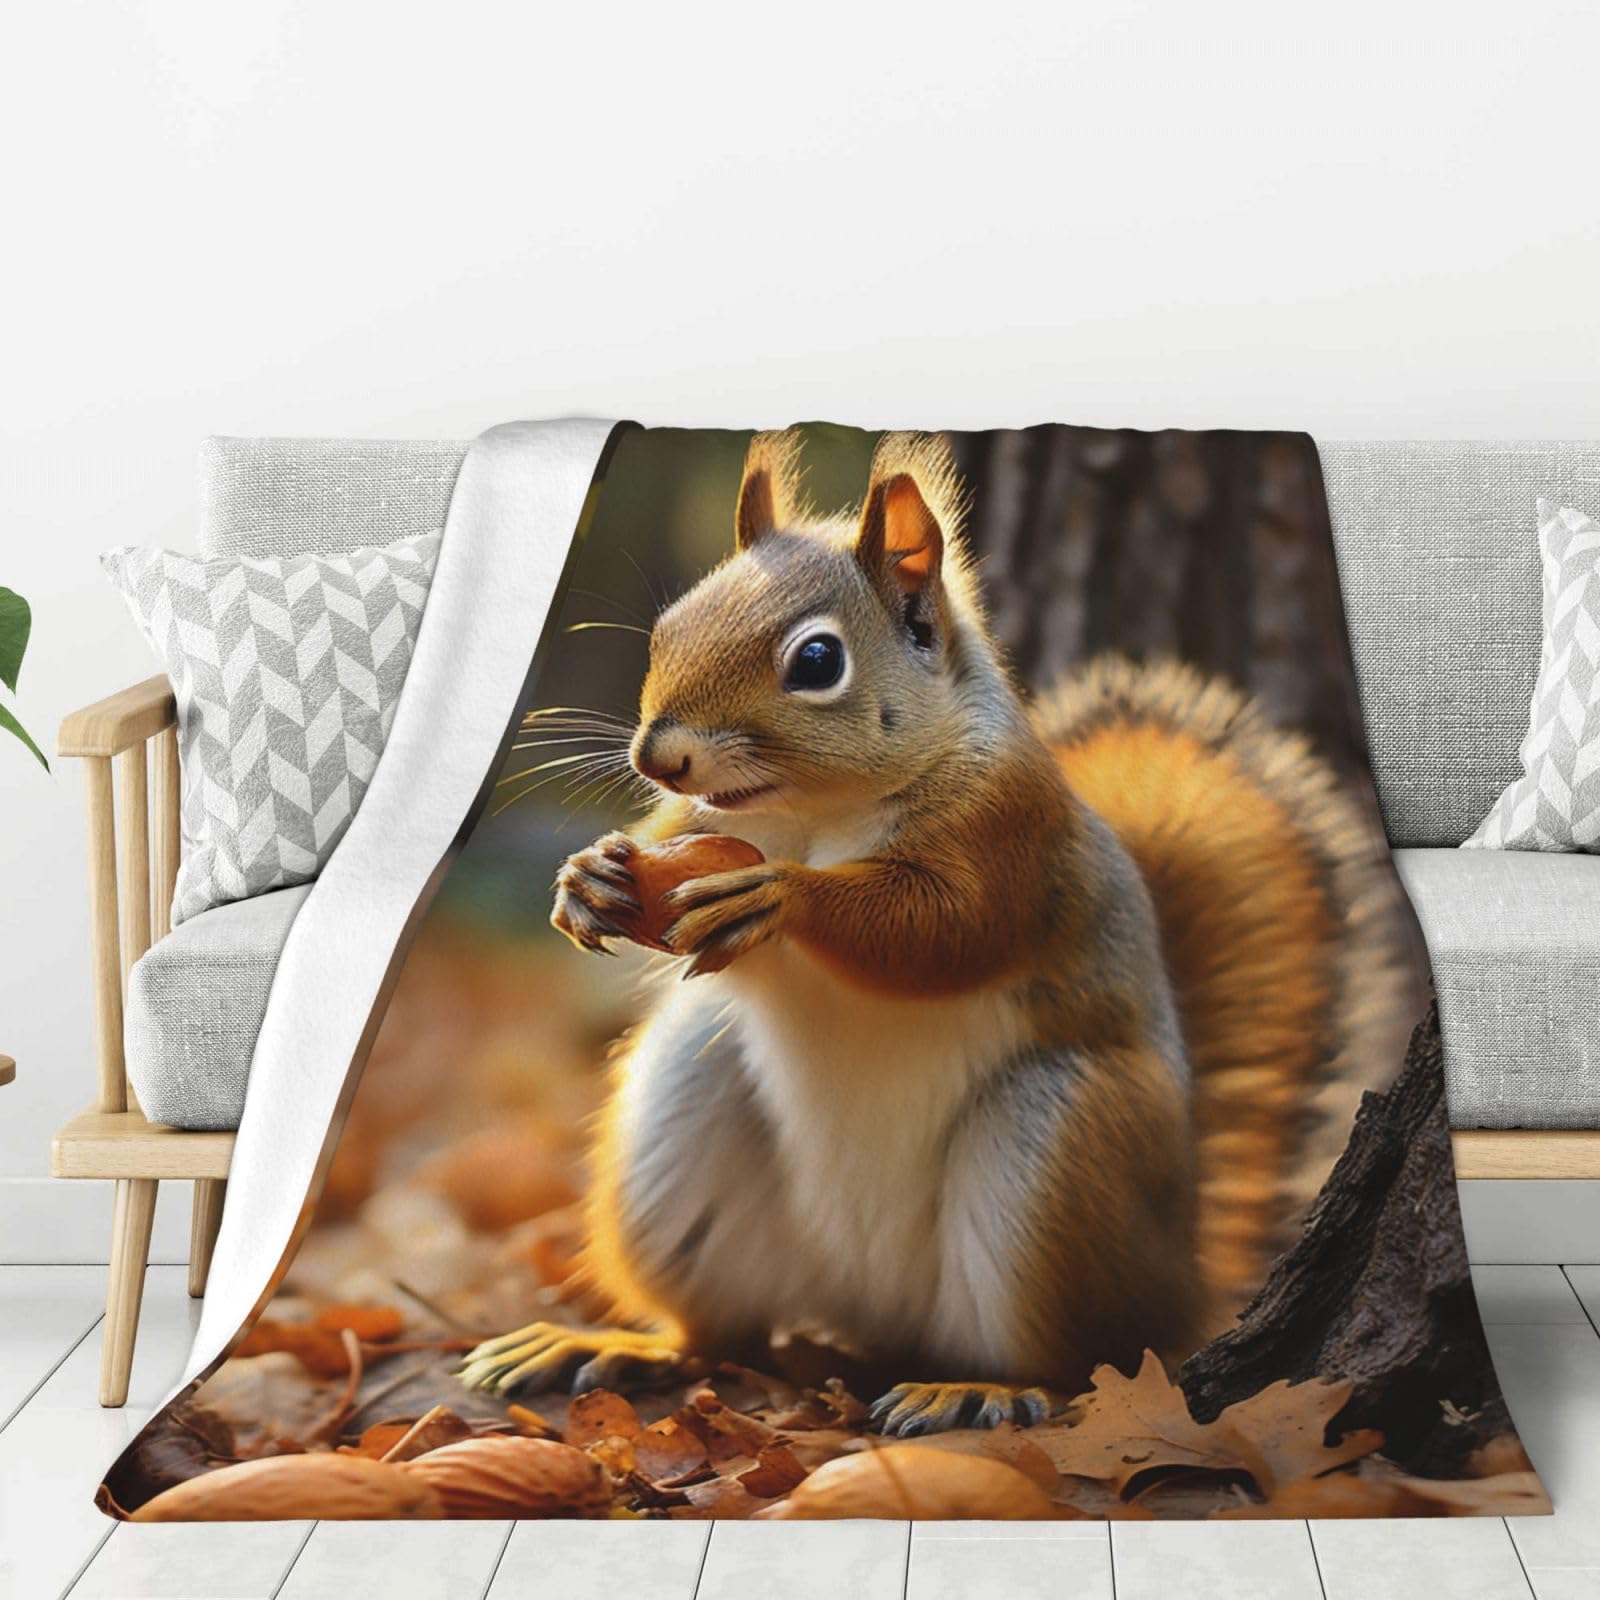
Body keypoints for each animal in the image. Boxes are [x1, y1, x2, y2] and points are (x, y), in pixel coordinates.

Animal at [458, 429, 1414, 1434]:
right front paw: (590, 879)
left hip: (1060, 1149)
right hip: (685, 1116)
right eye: (670, 624)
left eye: (816, 662)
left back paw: (980, 1389)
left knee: (1082, 1364)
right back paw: (613, 1345)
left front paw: (784, 898)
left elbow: (941, 932)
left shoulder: (1009, 838)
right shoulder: (691, 821)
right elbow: (663, 844)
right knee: (718, 1334)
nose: (658, 755)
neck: (813, 811)